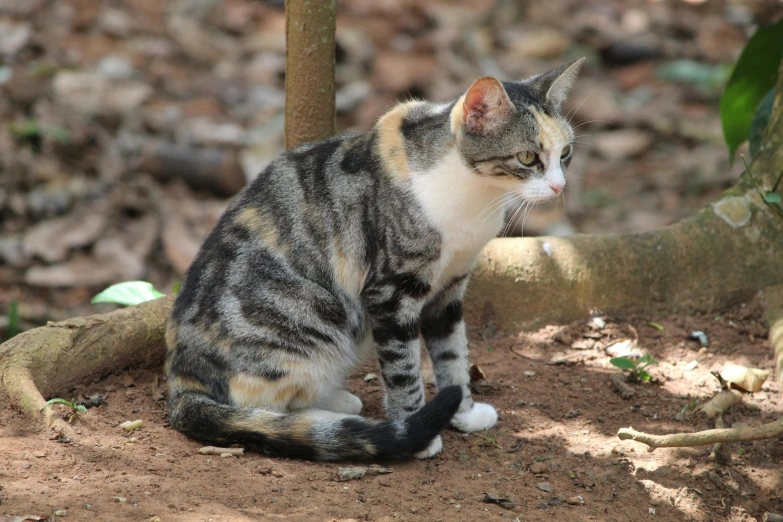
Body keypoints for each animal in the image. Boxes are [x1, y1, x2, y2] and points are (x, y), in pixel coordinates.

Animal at [164, 58, 580, 460]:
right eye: (527, 157)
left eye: (566, 154)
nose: (560, 187)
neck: (474, 195)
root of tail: (182, 381)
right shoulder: (390, 293)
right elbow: (404, 368)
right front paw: (415, 430)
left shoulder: (449, 287)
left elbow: (453, 354)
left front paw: (463, 412)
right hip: (315, 315)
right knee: (259, 407)